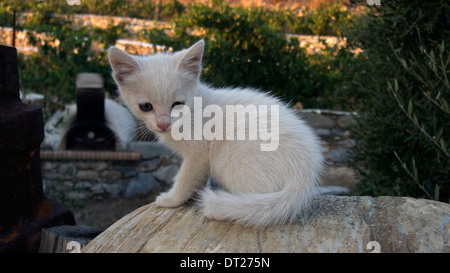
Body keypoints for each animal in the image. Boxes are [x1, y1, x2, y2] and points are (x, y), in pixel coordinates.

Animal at [110, 39, 326, 227]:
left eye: (177, 104)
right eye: (146, 106)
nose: (163, 124)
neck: (194, 108)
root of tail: (304, 178)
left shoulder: (198, 155)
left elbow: (186, 178)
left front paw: (171, 200)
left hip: (231, 160)